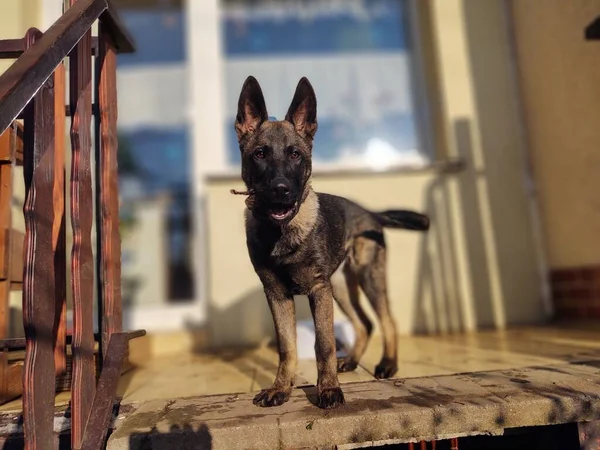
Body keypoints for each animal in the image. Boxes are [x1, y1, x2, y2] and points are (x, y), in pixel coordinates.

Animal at [236, 74, 432, 408]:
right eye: (260, 154)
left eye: (295, 154)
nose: (281, 190)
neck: (282, 232)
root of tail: (369, 212)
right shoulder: (277, 294)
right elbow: (286, 346)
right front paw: (281, 388)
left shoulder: (318, 290)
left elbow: (324, 343)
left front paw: (328, 388)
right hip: (339, 288)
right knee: (364, 323)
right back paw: (352, 361)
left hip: (366, 278)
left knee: (387, 320)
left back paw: (388, 364)